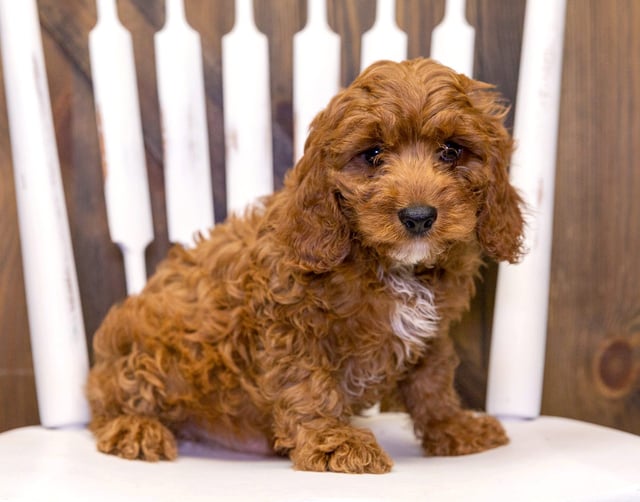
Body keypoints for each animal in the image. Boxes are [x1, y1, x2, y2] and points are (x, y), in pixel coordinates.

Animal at [86, 58, 524, 474]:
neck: (385, 262)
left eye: (451, 151)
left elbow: (432, 383)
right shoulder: (290, 326)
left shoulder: (431, 336)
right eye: (373, 154)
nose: (418, 216)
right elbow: (309, 386)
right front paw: (334, 442)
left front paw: (453, 426)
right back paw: (133, 427)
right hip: (144, 352)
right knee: (110, 400)